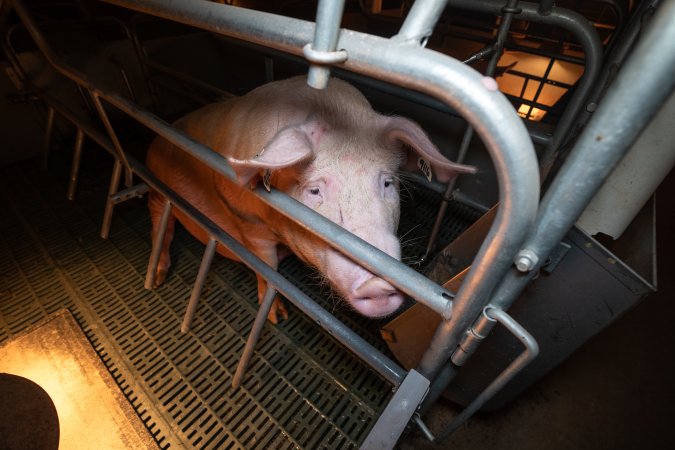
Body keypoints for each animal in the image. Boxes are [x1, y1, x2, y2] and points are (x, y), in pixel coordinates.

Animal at [148, 77, 476, 324]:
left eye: (387, 183)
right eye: (314, 191)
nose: (378, 283)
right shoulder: (247, 223)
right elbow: (266, 267)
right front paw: (277, 317)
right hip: (157, 186)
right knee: (159, 218)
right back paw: (157, 279)